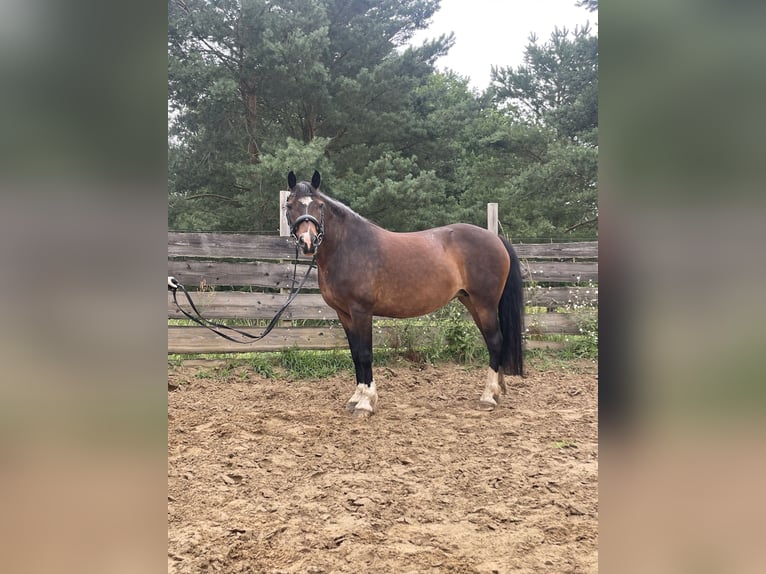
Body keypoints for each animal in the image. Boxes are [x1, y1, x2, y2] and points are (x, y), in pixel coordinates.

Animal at [285, 170, 524, 417]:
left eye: (319, 205)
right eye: (289, 205)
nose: (308, 242)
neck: (348, 246)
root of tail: (496, 239)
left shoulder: (361, 311)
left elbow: (365, 354)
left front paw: (365, 403)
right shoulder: (344, 314)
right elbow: (355, 354)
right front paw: (356, 398)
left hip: (485, 303)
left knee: (495, 341)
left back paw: (488, 397)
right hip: (473, 303)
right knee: (494, 341)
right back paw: (497, 391)